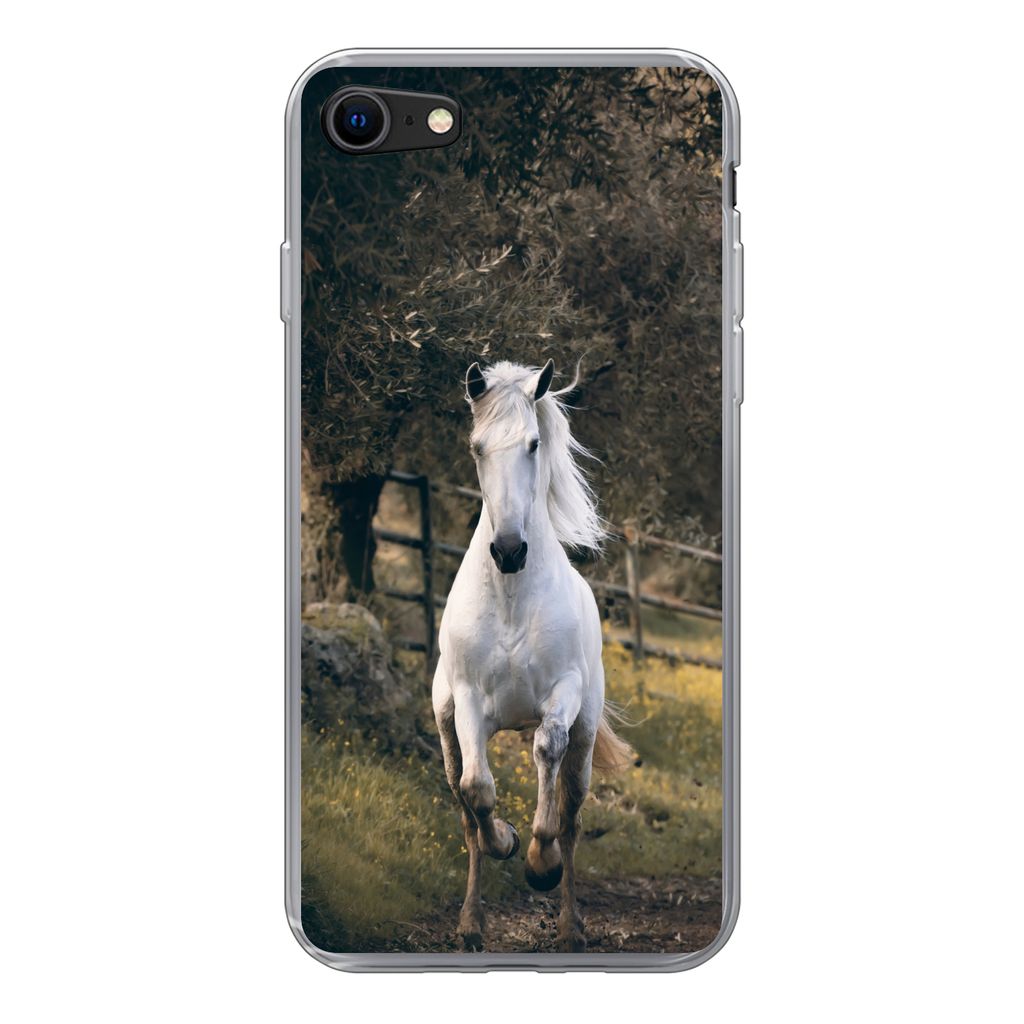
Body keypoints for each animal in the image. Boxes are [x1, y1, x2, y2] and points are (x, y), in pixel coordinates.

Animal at [432, 359, 633, 953]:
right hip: (447, 730)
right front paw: (508, 840)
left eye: (533, 443)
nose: (508, 550)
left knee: (571, 813)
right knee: (465, 813)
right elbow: (478, 792)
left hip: (585, 738)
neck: (512, 599)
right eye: (477, 447)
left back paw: (570, 925)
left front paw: (539, 863)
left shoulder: (560, 698)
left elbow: (549, 761)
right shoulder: (469, 703)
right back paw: (471, 924)